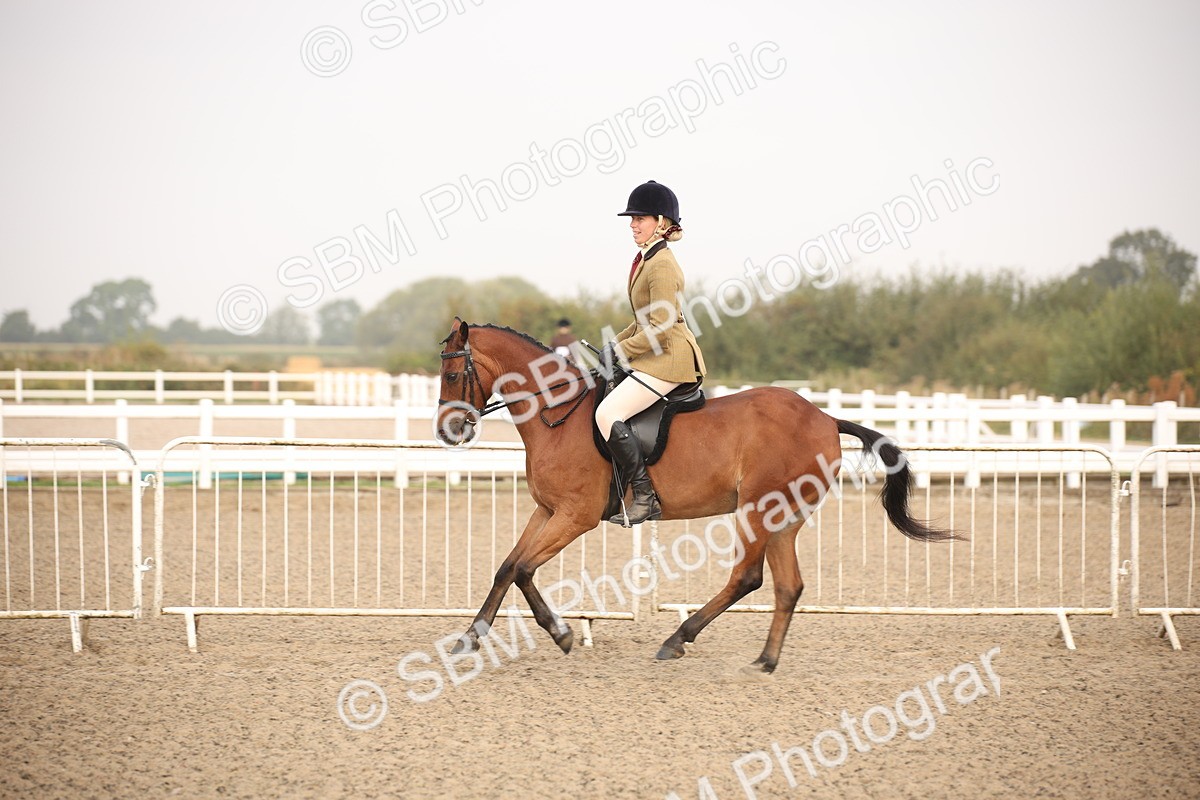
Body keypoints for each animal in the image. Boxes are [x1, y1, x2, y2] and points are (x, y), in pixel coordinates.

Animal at [435, 318, 955, 674]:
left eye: (453, 376)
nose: (448, 431)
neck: (557, 414)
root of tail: (826, 418)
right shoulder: (547, 510)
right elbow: (507, 567)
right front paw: (469, 638)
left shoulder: (575, 515)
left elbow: (524, 569)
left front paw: (562, 634)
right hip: (785, 516)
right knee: (787, 586)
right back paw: (764, 661)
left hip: (758, 509)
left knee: (747, 578)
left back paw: (678, 638)